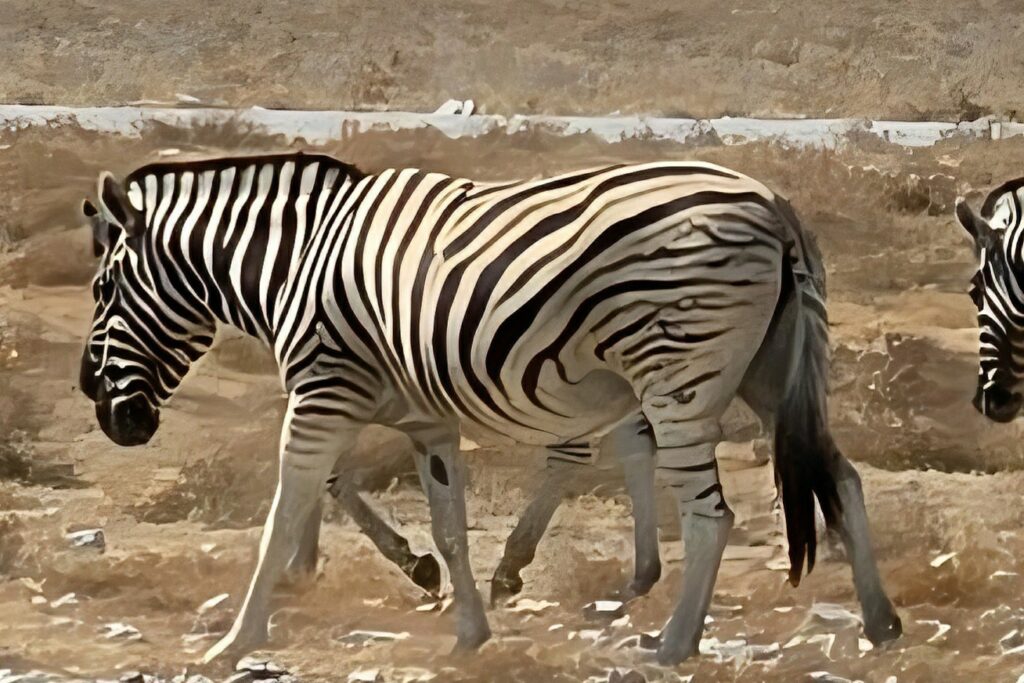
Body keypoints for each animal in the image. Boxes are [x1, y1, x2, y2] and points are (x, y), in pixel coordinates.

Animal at [78, 152, 901, 665]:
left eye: (102, 290)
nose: (104, 409)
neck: (298, 260)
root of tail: (774, 205)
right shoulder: (421, 418)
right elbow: (448, 527)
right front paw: (465, 627)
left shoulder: (323, 390)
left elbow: (288, 509)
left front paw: (237, 639)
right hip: (775, 374)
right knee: (843, 477)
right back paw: (880, 621)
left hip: (677, 374)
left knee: (710, 516)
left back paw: (673, 643)